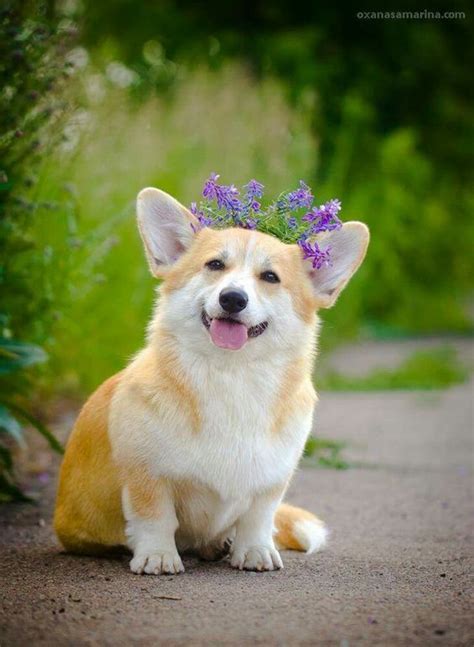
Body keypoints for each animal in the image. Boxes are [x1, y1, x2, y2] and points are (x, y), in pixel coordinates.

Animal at [53, 187, 368, 576]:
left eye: (270, 277)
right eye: (215, 265)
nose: (232, 298)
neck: (231, 375)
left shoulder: (271, 482)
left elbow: (258, 518)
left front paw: (255, 551)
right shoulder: (146, 476)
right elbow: (155, 518)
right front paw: (158, 556)